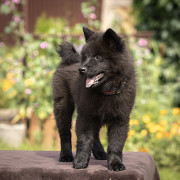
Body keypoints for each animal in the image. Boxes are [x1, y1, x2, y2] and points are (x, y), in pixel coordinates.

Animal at [52, 26, 136, 170]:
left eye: (98, 57)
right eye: (85, 57)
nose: (81, 69)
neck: (106, 91)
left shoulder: (120, 118)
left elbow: (116, 143)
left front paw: (115, 164)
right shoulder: (85, 115)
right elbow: (84, 140)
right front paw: (80, 161)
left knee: (95, 135)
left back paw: (100, 153)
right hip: (63, 106)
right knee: (65, 133)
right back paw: (66, 156)